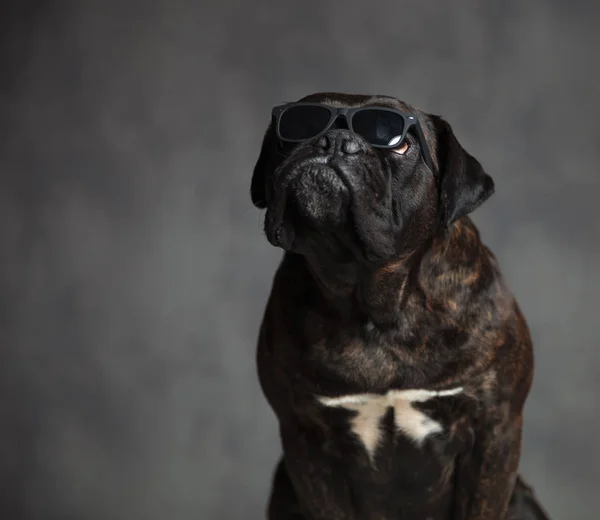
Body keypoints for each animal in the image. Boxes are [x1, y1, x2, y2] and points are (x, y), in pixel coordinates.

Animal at [247, 93, 548, 520]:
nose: (334, 141)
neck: (377, 306)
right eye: (297, 125)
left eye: (400, 144)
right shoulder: (307, 440)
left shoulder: (495, 431)